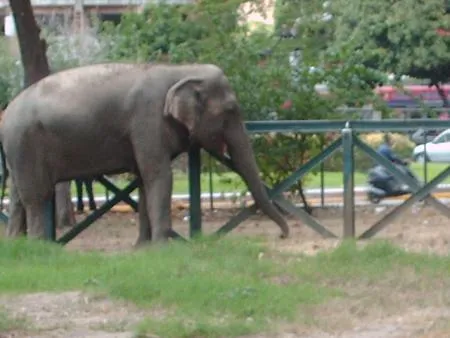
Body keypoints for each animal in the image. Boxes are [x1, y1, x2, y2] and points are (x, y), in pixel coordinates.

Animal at [0, 62, 288, 243]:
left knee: (18, 195)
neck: (180, 69)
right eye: (230, 111)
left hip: (18, 149)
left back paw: (16, 245)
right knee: (36, 196)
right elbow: (159, 176)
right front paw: (162, 246)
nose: (283, 234)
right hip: (25, 142)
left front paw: (143, 247)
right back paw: (39, 246)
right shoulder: (147, 120)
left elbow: (143, 180)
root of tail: (6, 113)